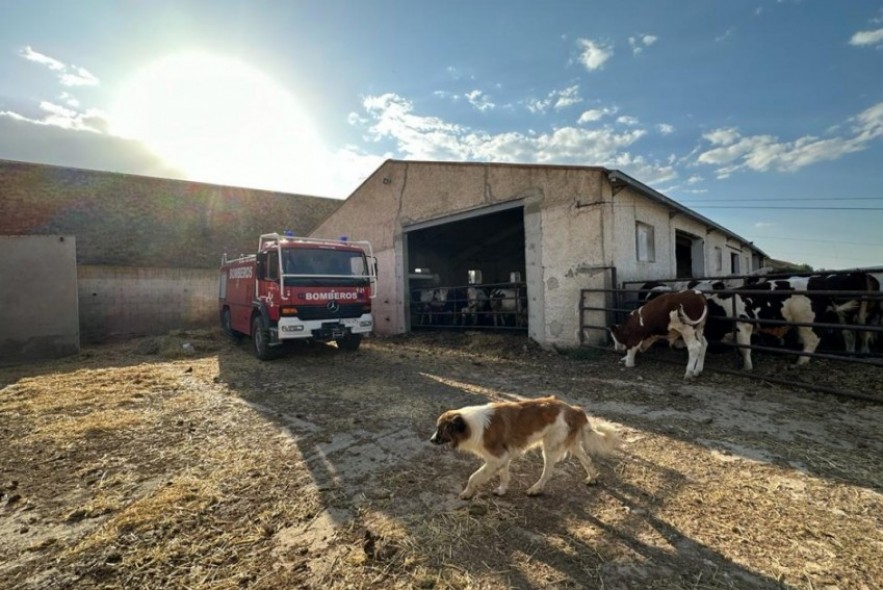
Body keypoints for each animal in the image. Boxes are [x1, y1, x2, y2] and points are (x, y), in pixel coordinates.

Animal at [430, 398, 620, 500]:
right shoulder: (502, 457)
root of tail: (573, 409)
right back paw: (592, 478)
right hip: (571, 444)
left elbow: (474, 477)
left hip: (550, 447)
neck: (470, 424)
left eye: (440, 429)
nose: (431, 440)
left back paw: (536, 489)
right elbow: (503, 475)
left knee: (548, 472)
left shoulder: (497, 456)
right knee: (587, 460)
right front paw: (502, 490)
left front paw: (467, 493)